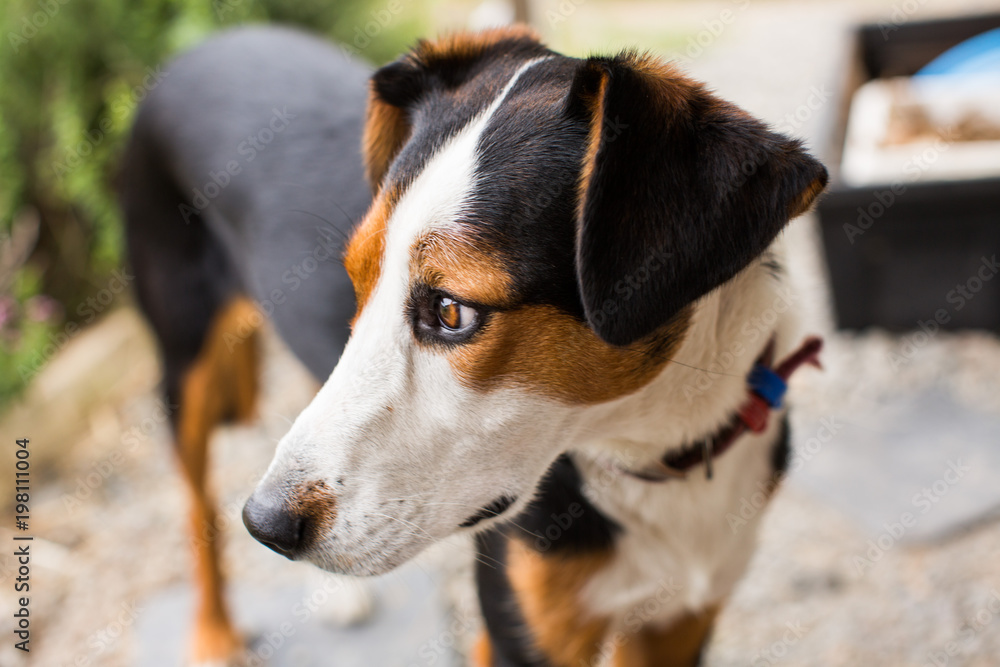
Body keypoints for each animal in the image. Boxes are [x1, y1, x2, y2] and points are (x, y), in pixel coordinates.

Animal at [123, 23, 828, 664]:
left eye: (450, 310)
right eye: (357, 282)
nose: (265, 525)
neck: (657, 453)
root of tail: (207, 43)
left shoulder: (679, 623)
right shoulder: (526, 632)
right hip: (183, 361)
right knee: (195, 507)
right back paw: (215, 637)